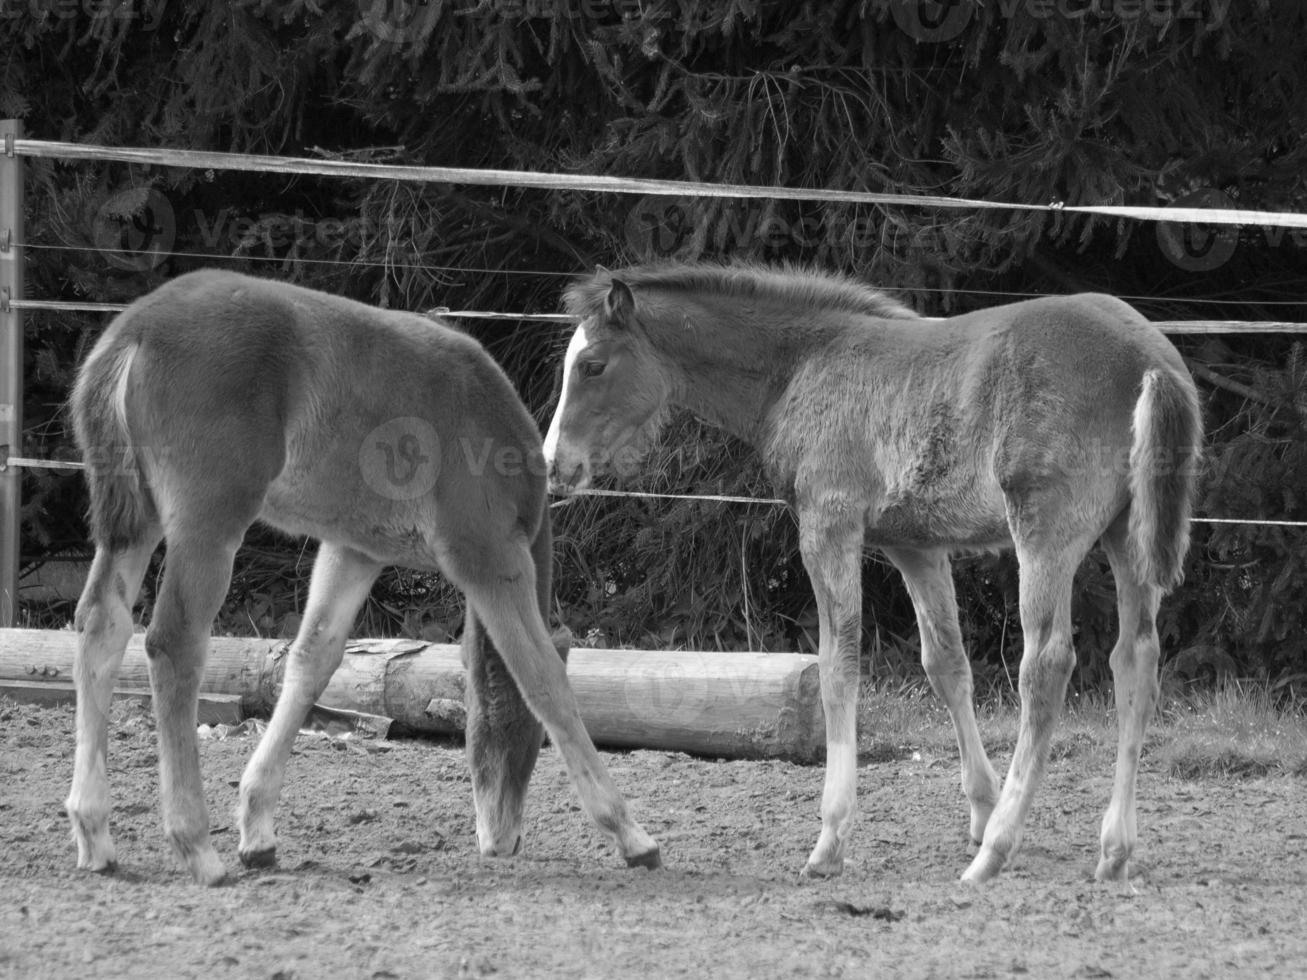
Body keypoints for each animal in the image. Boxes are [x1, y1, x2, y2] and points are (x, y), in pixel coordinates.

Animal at [67, 273, 658, 888]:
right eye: (531, 742)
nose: (501, 842)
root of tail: (133, 332)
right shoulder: (488, 553)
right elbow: (542, 678)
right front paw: (630, 834)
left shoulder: (354, 550)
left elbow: (313, 661)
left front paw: (258, 830)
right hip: (209, 521)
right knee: (172, 642)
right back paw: (196, 846)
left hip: (136, 522)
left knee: (101, 626)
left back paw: (94, 833)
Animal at [538, 261, 1197, 883]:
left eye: (592, 365)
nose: (554, 466)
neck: (800, 368)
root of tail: (1150, 359)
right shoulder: (915, 546)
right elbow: (946, 665)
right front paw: (979, 814)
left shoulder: (828, 525)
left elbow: (838, 667)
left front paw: (830, 841)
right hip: (1127, 537)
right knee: (1134, 661)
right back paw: (1111, 851)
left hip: (1045, 532)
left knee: (1047, 665)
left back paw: (996, 855)